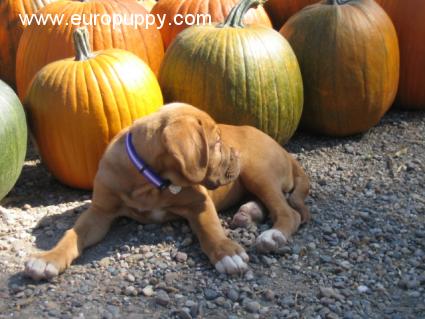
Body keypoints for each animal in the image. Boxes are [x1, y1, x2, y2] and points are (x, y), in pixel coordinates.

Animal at [24, 103, 308, 280]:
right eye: (216, 142)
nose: (235, 153)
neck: (151, 182)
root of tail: (285, 152)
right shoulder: (99, 213)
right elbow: (72, 234)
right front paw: (48, 258)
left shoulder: (200, 203)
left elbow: (210, 229)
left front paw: (227, 253)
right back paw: (248, 214)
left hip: (257, 171)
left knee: (288, 212)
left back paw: (273, 236)